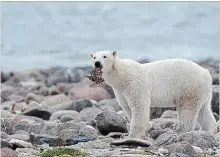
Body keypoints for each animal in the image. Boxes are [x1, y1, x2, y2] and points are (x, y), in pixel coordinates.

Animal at [88, 50, 217, 139]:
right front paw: (145, 127)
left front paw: (133, 135)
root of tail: (206, 73)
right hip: (203, 91)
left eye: (105, 56)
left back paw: (180, 131)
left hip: (188, 86)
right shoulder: (120, 91)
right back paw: (208, 130)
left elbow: (139, 105)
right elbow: (127, 107)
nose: (97, 63)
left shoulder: (135, 83)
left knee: (187, 109)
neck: (121, 75)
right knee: (204, 110)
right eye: (94, 57)